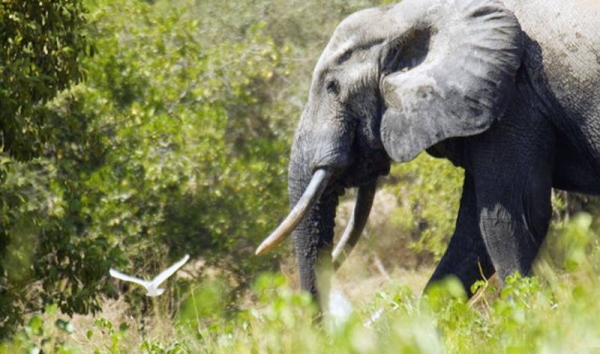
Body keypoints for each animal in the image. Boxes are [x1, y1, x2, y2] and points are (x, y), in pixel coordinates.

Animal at [254, 0, 600, 310]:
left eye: (332, 87)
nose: (320, 328)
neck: (401, 16)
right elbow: (471, 236)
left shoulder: (513, 99)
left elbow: (510, 218)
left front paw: (531, 318)